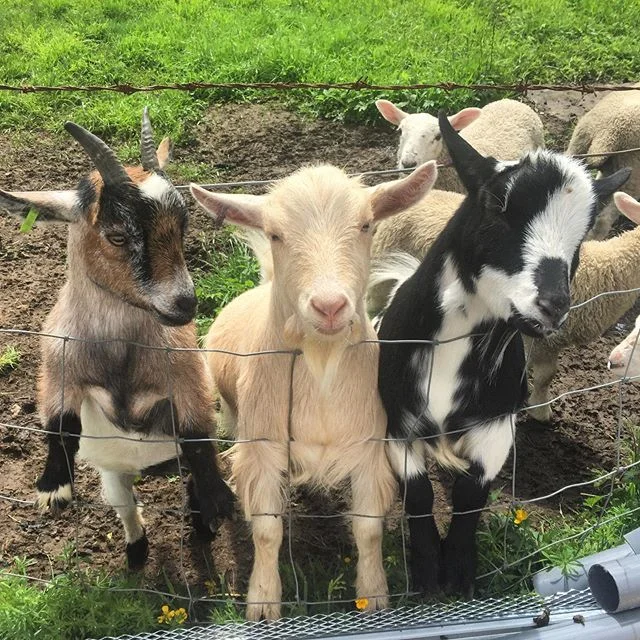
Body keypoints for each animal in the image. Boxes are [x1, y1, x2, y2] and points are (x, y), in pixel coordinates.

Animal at [0, 110, 234, 568]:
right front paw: (53, 488)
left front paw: (218, 499)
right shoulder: (57, 363)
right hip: (113, 470)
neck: (121, 351)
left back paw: (201, 521)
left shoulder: (185, 370)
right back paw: (137, 549)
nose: (185, 304)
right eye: (118, 236)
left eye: (183, 226)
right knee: (124, 501)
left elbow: (199, 435)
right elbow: (59, 423)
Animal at [190, 161, 438, 620]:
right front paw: (263, 602)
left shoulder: (370, 447)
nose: (329, 306)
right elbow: (267, 531)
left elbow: (369, 529)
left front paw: (374, 595)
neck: (322, 365)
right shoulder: (263, 449)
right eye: (275, 234)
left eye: (366, 225)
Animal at [375, 112, 629, 598]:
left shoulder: (495, 427)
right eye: (497, 203)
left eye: (583, 233)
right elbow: (419, 495)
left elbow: (470, 498)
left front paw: (459, 576)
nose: (553, 304)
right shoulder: (397, 423)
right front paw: (427, 576)